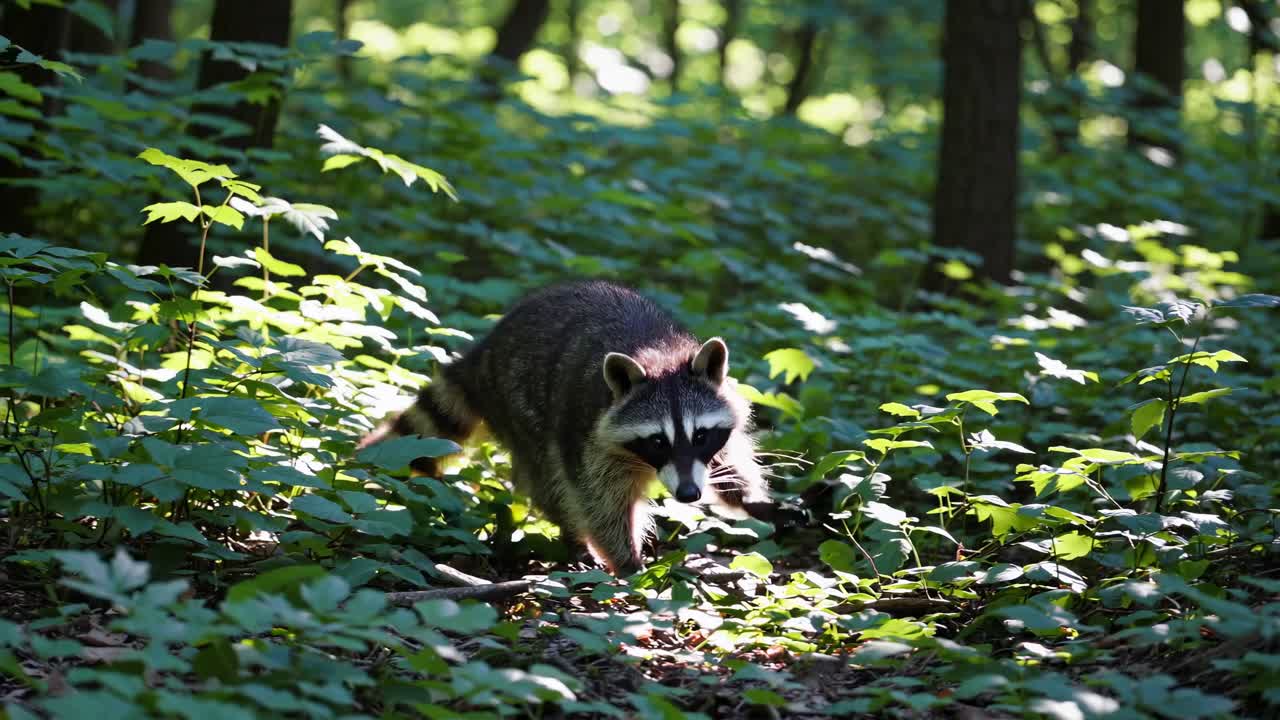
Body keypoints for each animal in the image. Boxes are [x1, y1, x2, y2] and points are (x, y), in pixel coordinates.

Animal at [358, 280, 772, 575]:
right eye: (657, 441)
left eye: (700, 435)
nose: (688, 494)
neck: (660, 357)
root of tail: (485, 350)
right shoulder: (585, 432)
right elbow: (597, 499)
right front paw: (627, 560)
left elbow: (728, 457)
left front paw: (744, 492)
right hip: (518, 405)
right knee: (550, 481)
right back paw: (574, 539)